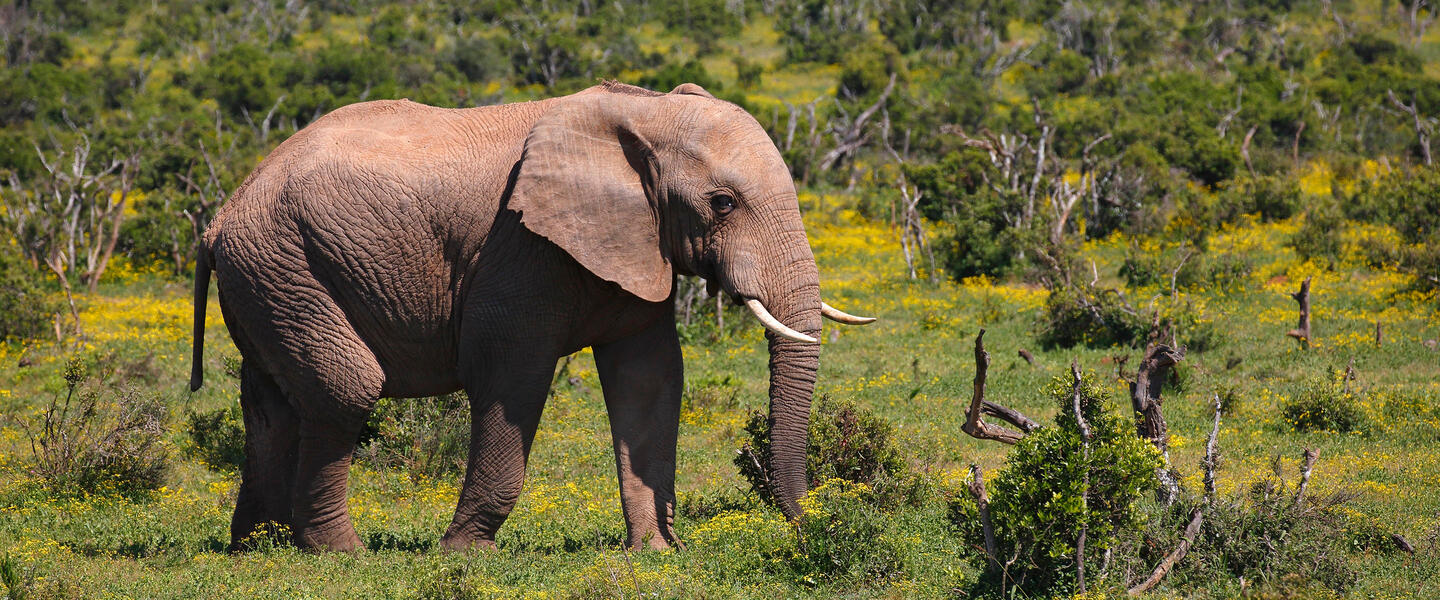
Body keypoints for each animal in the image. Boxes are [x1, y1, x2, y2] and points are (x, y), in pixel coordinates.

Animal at [185, 80, 869, 552]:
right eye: (723, 204)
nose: (806, 524)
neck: (641, 113)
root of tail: (219, 220)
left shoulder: (632, 241)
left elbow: (649, 379)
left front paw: (653, 553)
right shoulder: (518, 248)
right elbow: (511, 372)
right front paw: (464, 554)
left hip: (270, 280)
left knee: (272, 404)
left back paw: (258, 548)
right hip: (285, 265)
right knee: (344, 389)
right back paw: (340, 555)